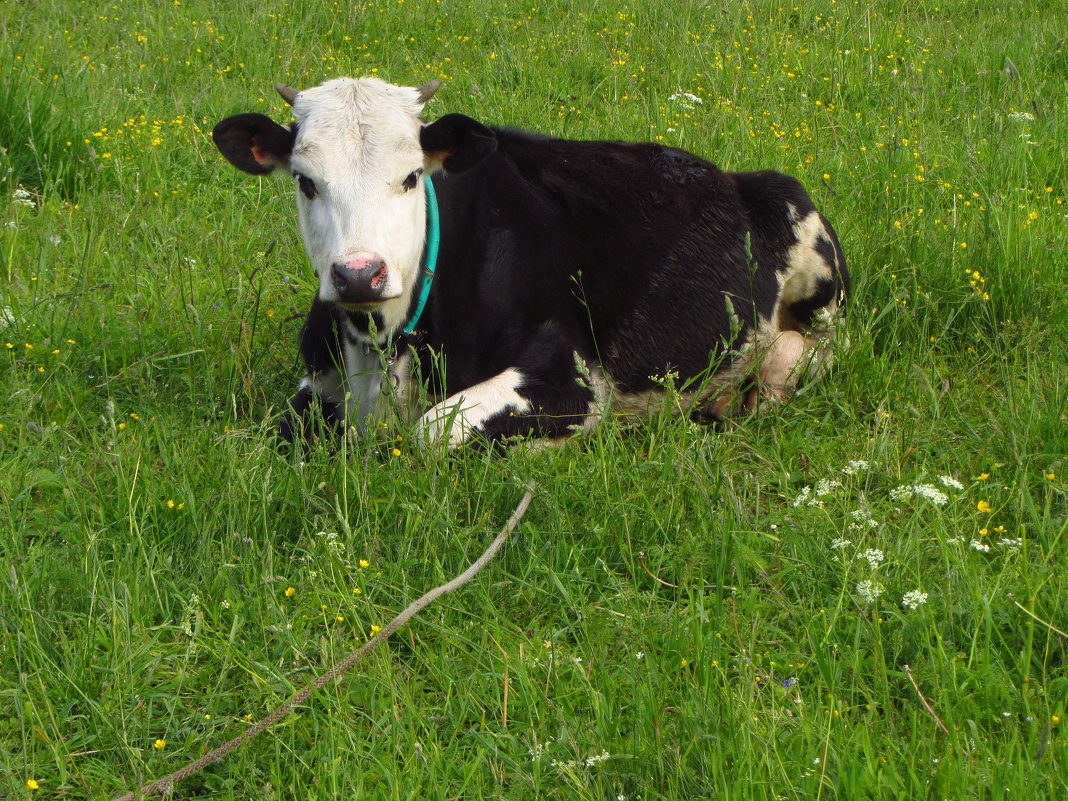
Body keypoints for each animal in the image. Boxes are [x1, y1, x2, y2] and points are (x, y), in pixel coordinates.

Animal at [210, 77, 850, 448]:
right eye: (305, 181)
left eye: (412, 176)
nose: (359, 274)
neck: (383, 347)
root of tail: (723, 173)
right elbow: (276, 433)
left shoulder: (575, 379)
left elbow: (435, 429)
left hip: (809, 253)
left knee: (813, 349)